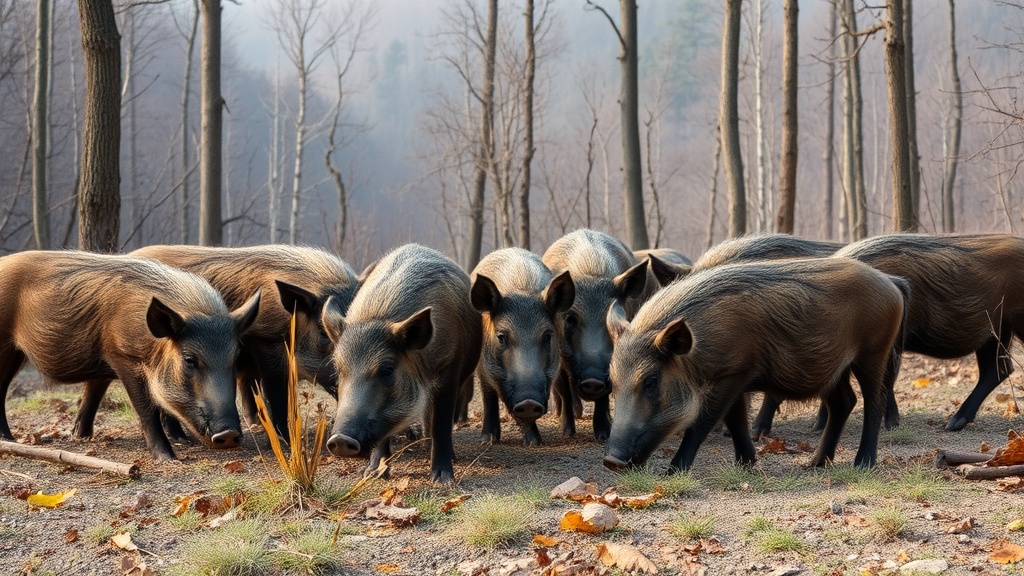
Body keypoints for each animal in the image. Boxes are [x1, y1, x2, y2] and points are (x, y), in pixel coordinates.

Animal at [0, 251, 260, 461]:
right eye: (189, 359)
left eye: (235, 358)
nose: (229, 433)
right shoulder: (122, 356)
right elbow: (147, 409)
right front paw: (169, 458)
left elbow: (97, 394)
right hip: (5, 347)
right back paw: (8, 439)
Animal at [324, 244, 482, 484]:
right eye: (339, 370)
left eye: (387, 370)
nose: (340, 440)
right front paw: (374, 474)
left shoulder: (448, 368)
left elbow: (441, 424)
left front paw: (442, 480)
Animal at [470, 248, 575, 446]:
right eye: (501, 338)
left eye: (547, 336)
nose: (528, 402)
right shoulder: (482, 366)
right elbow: (488, 396)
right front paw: (487, 441)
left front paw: (535, 443)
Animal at [542, 229, 650, 440]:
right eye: (570, 318)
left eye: (613, 316)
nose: (592, 380)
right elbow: (565, 389)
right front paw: (567, 433)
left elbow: (603, 397)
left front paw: (603, 435)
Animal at [602, 257, 909, 472]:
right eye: (612, 383)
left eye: (651, 381)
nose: (611, 461)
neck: (698, 352)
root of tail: (891, 282)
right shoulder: (736, 377)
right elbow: (736, 420)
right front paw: (746, 464)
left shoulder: (731, 374)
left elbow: (703, 423)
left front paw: (673, 471)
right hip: (834, 369)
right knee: (844, 402)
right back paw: (814, 464)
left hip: (873, 352)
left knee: (874, 401)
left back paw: (862, 464)